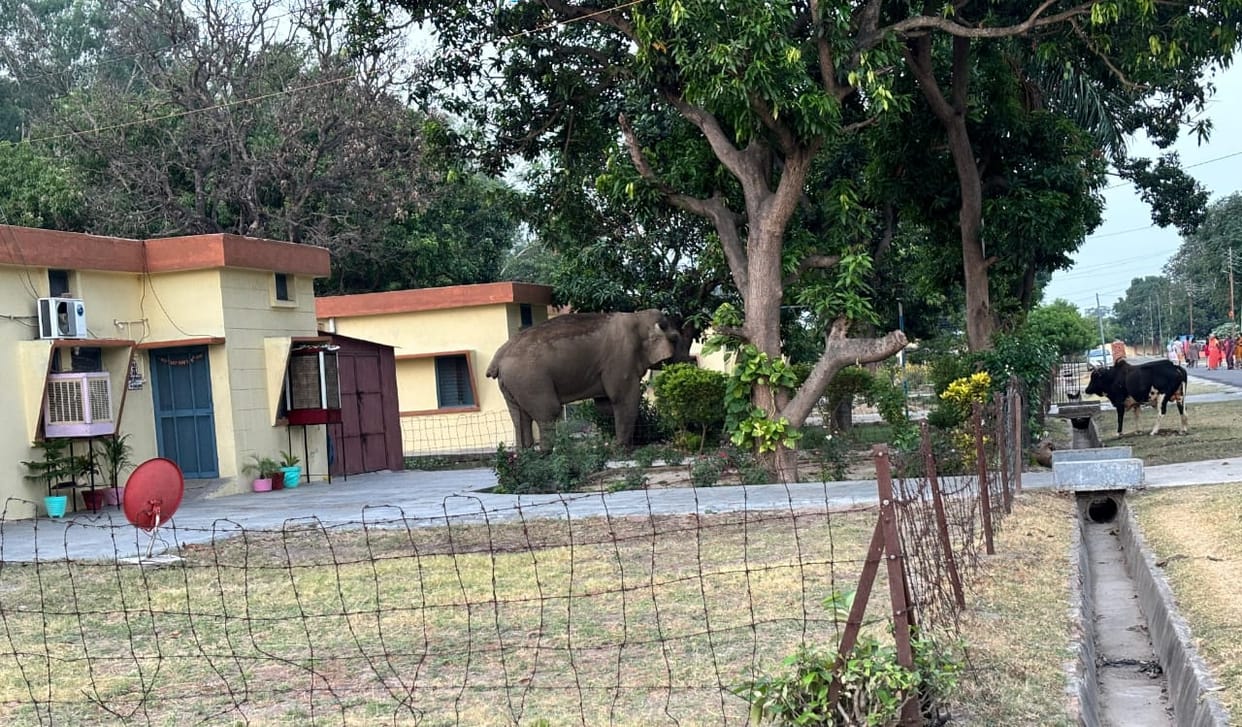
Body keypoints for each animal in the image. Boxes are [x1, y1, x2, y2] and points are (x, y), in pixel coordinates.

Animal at [486, 309, 681, 449]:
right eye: (676, 339)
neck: (638, 316)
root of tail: (498, 358)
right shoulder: (620, 359)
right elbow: (623, 398)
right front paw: (623, 449)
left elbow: (605, 405)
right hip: (530, 380)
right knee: (548, 412)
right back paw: (546, 456)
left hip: (512, 385)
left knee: (520, 418)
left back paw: (527, 457)